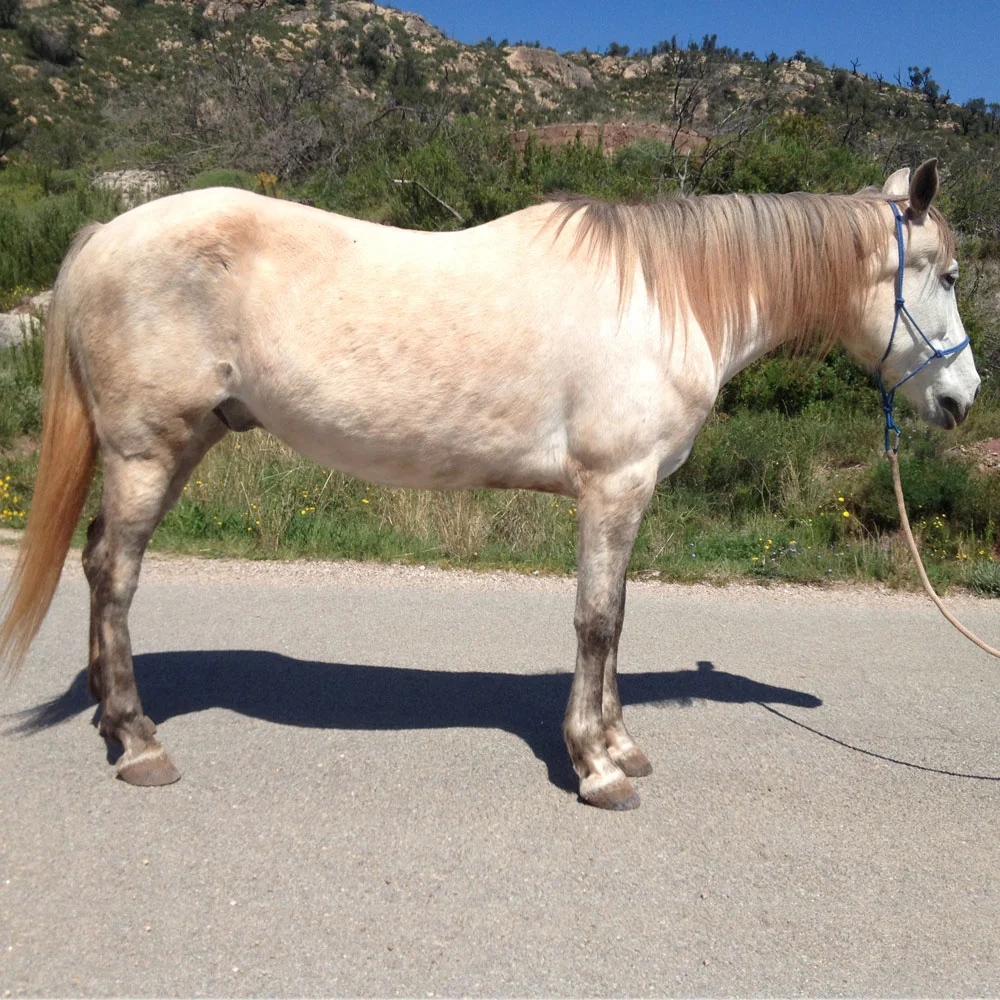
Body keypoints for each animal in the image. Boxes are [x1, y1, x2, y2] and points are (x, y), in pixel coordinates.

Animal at [0, 159, 981, 809]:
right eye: (945, 274)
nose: (961, 399)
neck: (666, 299)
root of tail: (105, 236)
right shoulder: (613, 488)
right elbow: (598, 620)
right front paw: (597, 766)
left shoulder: (628, 497)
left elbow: (618, 618)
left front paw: (622, 743)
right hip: (146, 452)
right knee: (116, 575)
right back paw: (139, 744)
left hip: (179, 445)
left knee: (98, 562)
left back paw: (110, 720)